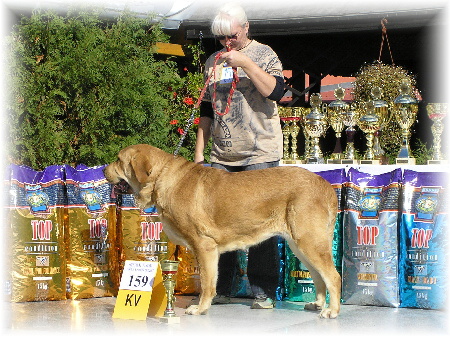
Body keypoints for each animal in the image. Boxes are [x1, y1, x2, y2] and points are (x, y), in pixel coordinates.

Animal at [103, 143, 342, 316]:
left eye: (118, 160)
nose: (104, 170)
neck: (161, 178)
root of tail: (325, 185)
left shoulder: (204, 245)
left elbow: (207, 283)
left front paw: (200, 308)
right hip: (299, 245)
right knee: (319, 276)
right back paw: (317, 304)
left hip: (309, 241)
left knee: (333, 276)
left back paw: (331, 311)